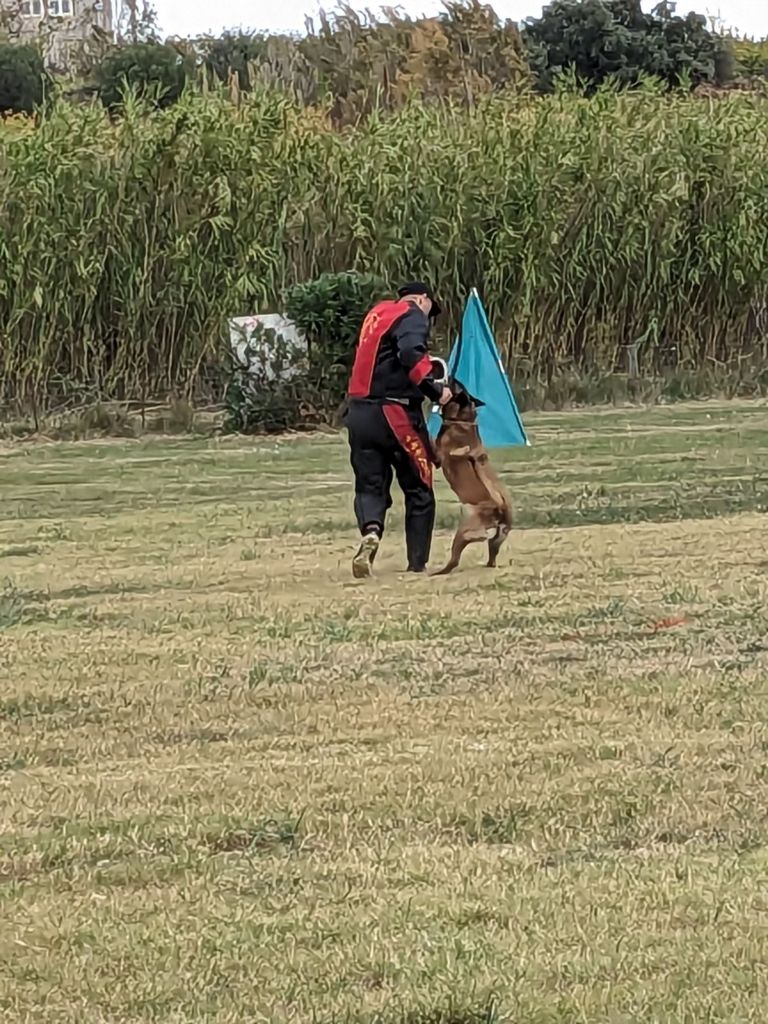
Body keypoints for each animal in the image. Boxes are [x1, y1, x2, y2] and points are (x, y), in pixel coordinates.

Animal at [434, 385, 512, 577]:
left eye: (455, 387)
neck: (462, 420)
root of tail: (502, 506)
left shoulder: (438, 454)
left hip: (466, 525)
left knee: (456, 557)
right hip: (497, 539)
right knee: (491, 551)